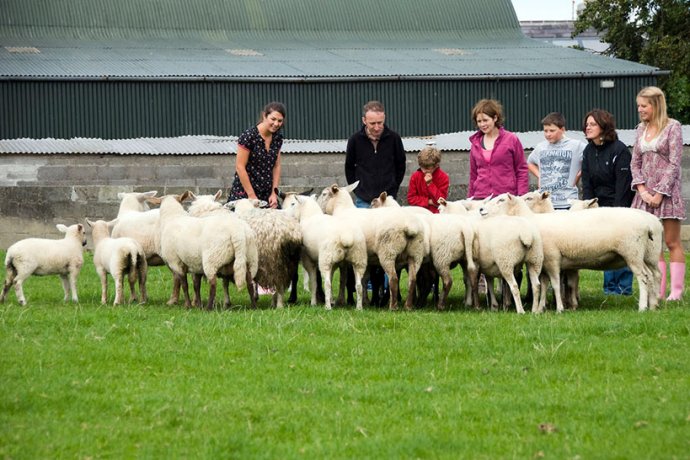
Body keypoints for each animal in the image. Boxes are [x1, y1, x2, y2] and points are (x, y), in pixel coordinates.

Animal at [316, 181, 424, 310]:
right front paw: (365, 301)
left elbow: (343, 279)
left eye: (324, 194)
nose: (317, 206)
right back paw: (408, 306)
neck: (341, 209)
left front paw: (340, 301)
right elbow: (364, 279)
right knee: (412, 280)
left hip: (388, 251)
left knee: (393, 278)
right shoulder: (365, 258)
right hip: (415, 254)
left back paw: (393, 307)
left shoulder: (345, 257)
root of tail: (410, 226)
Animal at [478, 194, 660, 312]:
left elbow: (556, 284)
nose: (481, 209)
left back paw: (643, 307)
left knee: (644, 277)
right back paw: (654, 304)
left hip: (632, 252)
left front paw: (559, 308)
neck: (530, 221)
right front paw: (540, 308)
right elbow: (543, 285)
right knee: (654, 275)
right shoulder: (543, 262)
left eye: (501, 200)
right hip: (646, 255)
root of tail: (648, 225)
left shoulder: (552, 258)